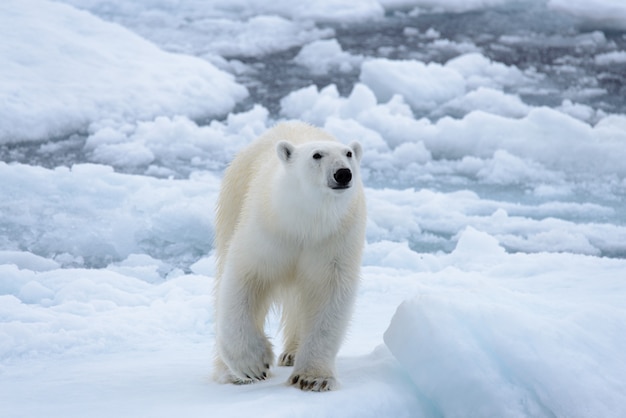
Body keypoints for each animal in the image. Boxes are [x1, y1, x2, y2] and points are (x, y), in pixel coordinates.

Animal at [213, 121, 366, 392]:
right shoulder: (267, 231)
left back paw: (292, 353)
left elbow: (330, 293)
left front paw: (313, 378)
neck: (305, 222)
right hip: (233, 200)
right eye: (317, 155)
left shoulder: (334, 240)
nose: (343, 174)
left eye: (348, 153)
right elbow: (243, 278)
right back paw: (229, 373)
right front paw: (252, 365)